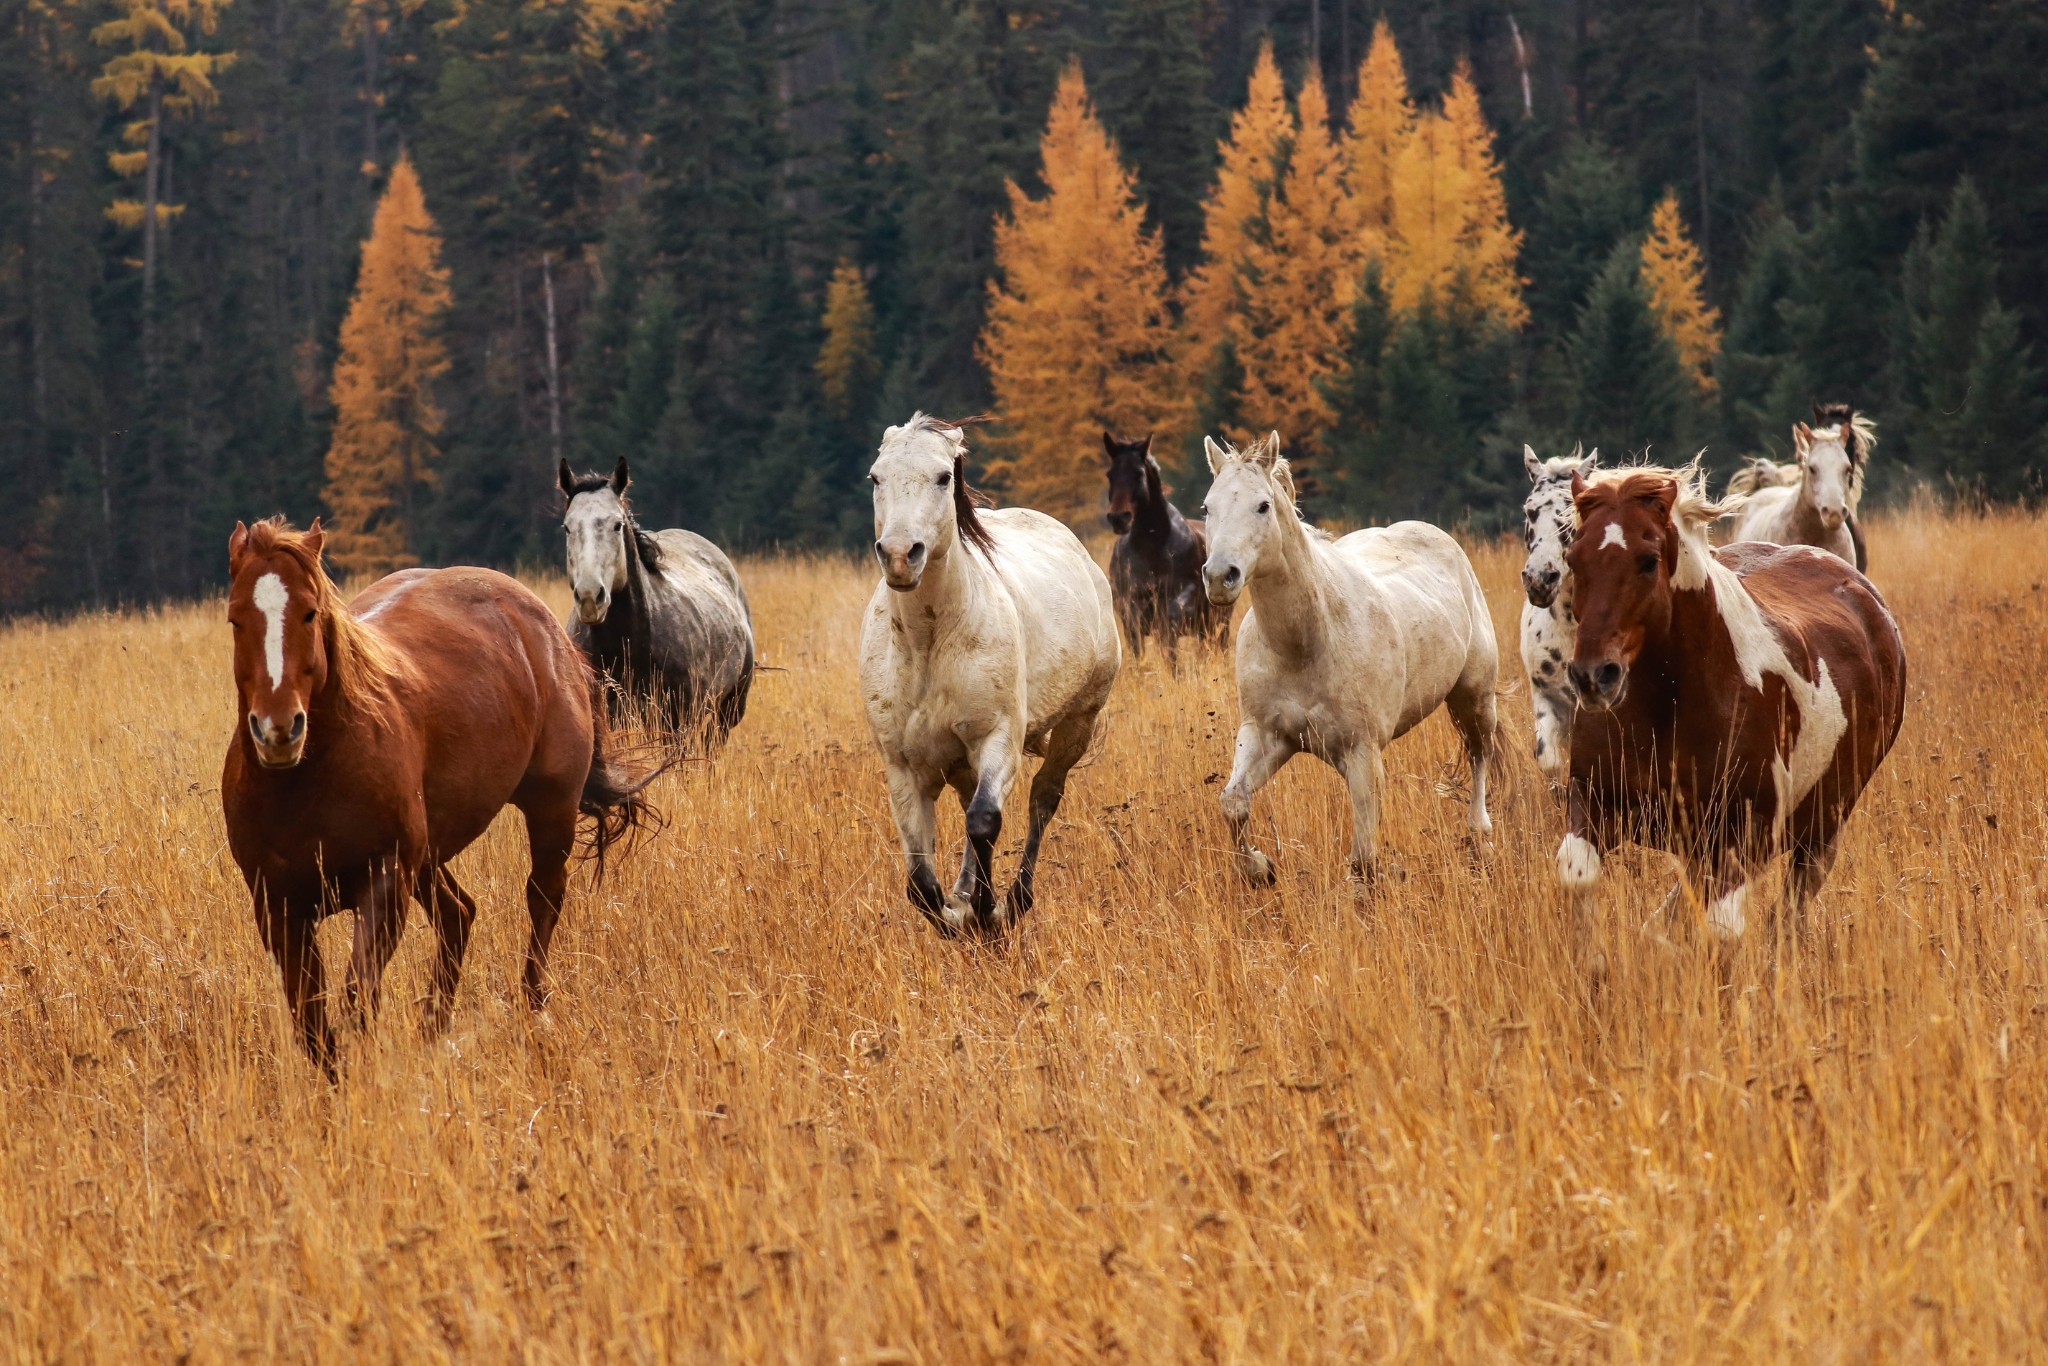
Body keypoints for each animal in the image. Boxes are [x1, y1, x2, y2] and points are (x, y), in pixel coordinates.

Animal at [221, 517, 660, 1074]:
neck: (304, 785)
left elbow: (356, 1000)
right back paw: (433, 1028)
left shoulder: (384, 885)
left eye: (308, 611)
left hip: (550, 809)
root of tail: (544, 626)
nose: (279, 730)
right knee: (459, 914)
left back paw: (532, 1011)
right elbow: (313, 1024)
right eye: (236, 620)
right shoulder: (277, 909)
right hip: (428, 858)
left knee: (542, 899)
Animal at [860, 413, 1121, 936]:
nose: (899, 555)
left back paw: (1016, 899)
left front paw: (985, 913)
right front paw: (956, 912)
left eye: (943, 477)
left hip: (1078, 723)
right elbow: (919, 880)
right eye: (876, 477)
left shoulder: (997, 738)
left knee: (1043, 797)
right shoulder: (902, 766)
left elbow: (984, 821)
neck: (929, 644)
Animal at [1104, 431, 1225, 662]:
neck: (1152, 549)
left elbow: (1170, 623)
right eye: (1110, 475)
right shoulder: (1129, 604)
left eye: (1139, 474)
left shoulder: (1183, 595)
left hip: (1218, 620)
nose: (1119, 518)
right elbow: (1138, 644)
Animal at [1200, 432, 1499, 886]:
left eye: (1263, 505)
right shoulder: (1265, 735)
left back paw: (1479, 835)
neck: (1306, 643)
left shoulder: (1361, 754)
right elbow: (1232, 802)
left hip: (1475, 698)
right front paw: (1260, 868)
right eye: (1207, 507)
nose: (1220, 577)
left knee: (1479, 754)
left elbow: (1362, 861)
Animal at [1556, 464, 1905, 975]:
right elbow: (1577, 875)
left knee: (1789, 912)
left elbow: (1723, 930)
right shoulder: (1595, 797)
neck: (1670, 707)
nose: (1593, 676)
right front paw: (1596, 969)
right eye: (1573, 558)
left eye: (1647, 560)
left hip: (1822, 827)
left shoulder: (1748, 830)